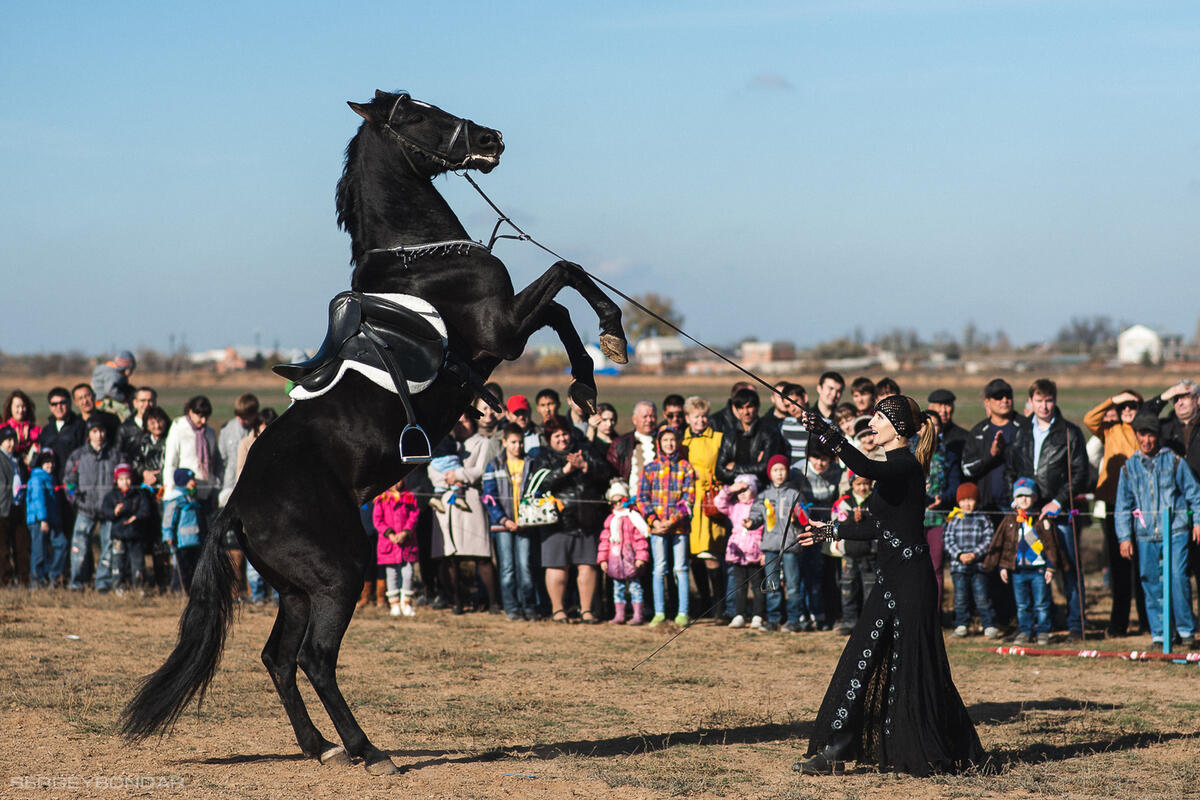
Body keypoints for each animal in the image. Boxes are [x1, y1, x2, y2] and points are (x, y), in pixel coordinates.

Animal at [119, 89, 628, 777]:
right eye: (419, 112)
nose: (492, 139)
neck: (420, 259)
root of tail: (237, 509)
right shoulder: (501, 329)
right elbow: (565, 280)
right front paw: (609, 340)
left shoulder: (505, 330)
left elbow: (561, 299)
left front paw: (587, 383)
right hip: (339, 574)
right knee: (314, 659)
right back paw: (366, 749)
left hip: (297, 590)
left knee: (278, 659)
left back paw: (319, 746)